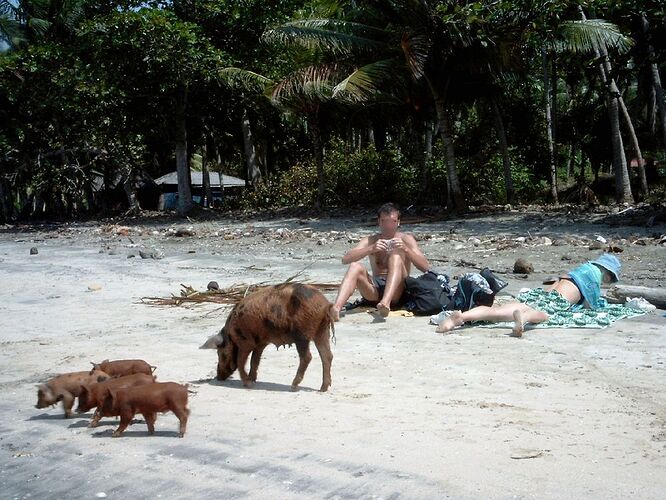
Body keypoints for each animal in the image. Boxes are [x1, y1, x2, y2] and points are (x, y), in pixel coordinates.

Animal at [200, 284, 334, 392]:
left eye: (220, 353)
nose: (218, 377)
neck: (230, 335)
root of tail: (325, 304)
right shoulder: (260, 343)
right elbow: (254, 360)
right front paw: (252, 380)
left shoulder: (245, 342)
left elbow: (241, 361)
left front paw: (248, 384)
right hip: (322, 332)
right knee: (327, 356)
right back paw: (323, 389)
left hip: (302, 335)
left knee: (307, 357)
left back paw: (293, 386)